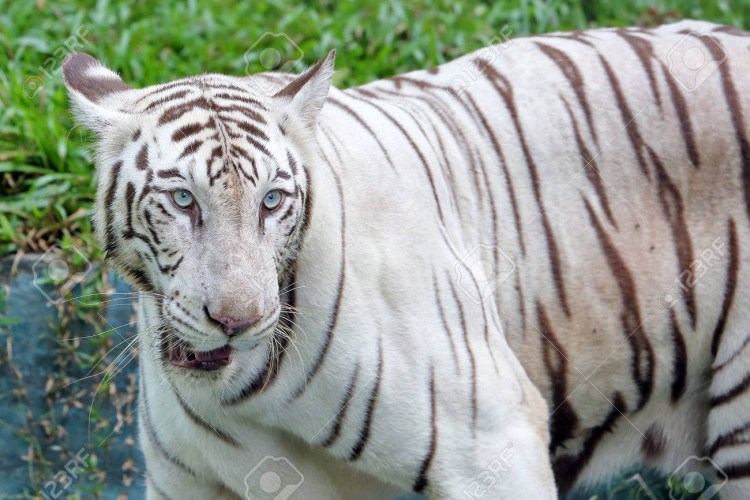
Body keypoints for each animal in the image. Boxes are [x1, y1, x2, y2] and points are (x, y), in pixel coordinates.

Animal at [61, 19, 750, 499]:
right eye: (183, 199)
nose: (238, 320)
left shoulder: (491, 441)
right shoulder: (188, 481)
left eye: (272, 201)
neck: (245, 396)